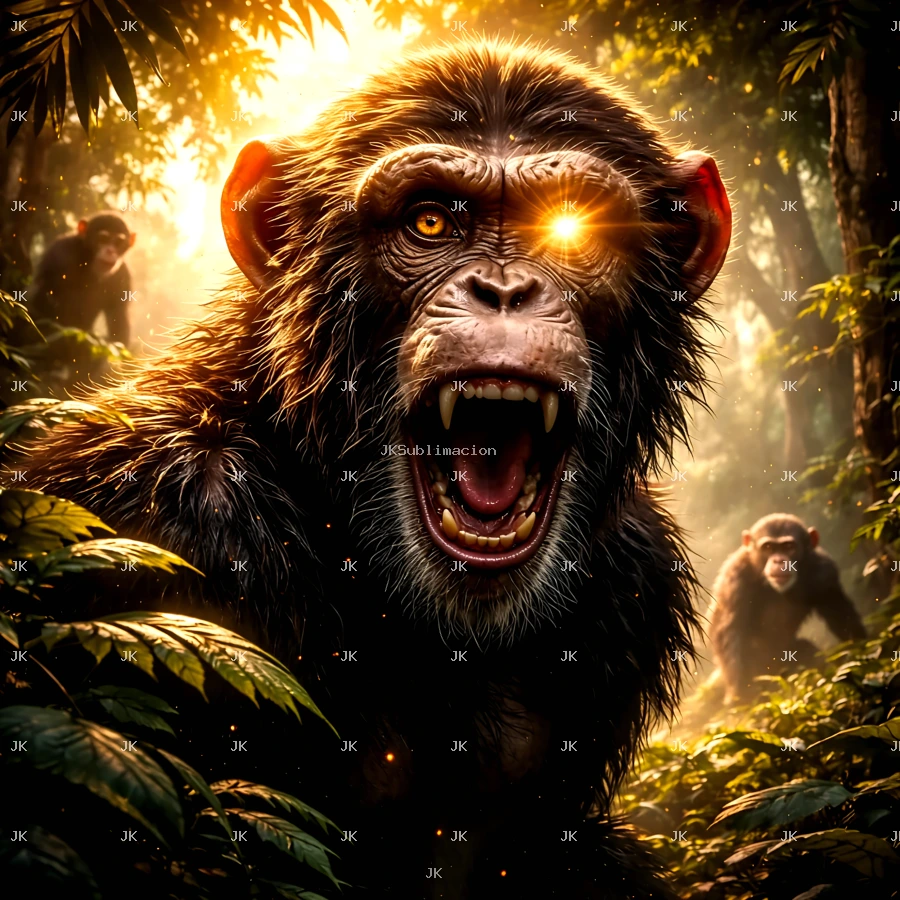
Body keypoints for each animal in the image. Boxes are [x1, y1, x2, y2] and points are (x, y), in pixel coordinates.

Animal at [709, 513, 867, 703]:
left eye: (789, 547)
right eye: (768, 547)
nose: (779, 560)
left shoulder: (824, 571)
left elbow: (841, 616)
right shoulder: (734, 577)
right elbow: (728, 629)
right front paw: (741, 693)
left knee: (806, 652)